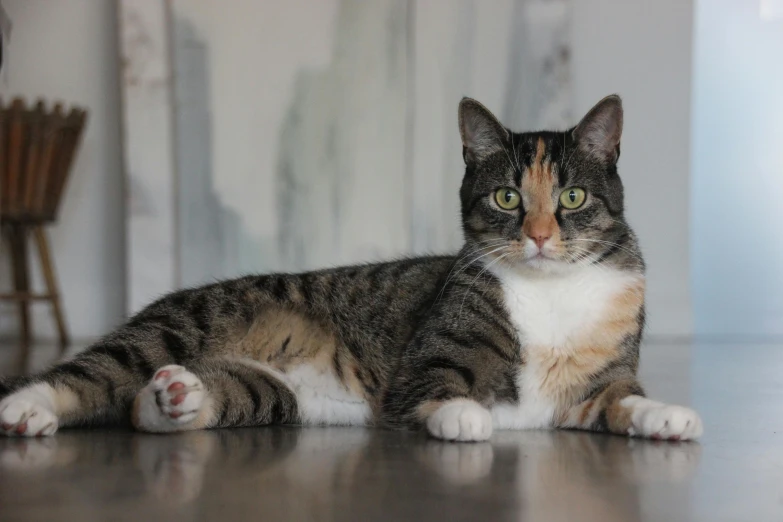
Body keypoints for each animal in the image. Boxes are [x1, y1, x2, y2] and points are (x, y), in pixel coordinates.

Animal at [0, 93, 704, 438]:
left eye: (572, 198)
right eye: (507, 197)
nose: (536, 236)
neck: (551, 292)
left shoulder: (596, 384)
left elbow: (621, 399)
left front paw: (666, 416)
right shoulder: (430, 358)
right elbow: (437, 386)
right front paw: (464, 416)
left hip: (273, 395)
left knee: (145, 409)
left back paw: (175, 398)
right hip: (177, 326)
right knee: (90, 372)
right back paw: (26, 410)